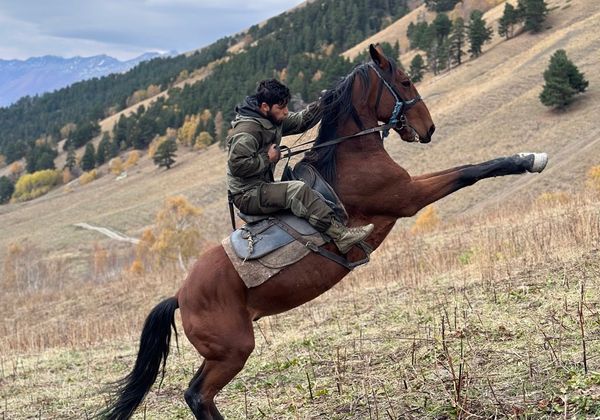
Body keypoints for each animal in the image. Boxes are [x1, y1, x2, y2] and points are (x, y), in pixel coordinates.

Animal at [101, 44, 547, 419]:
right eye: (405, 82)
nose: (429, 128)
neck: (351, 154)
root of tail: (180, 296)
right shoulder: (408, 197)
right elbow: (471, 171)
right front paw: (530, 158)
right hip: (232, 351)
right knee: (198, 395)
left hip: (221, 354)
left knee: (199, 395)